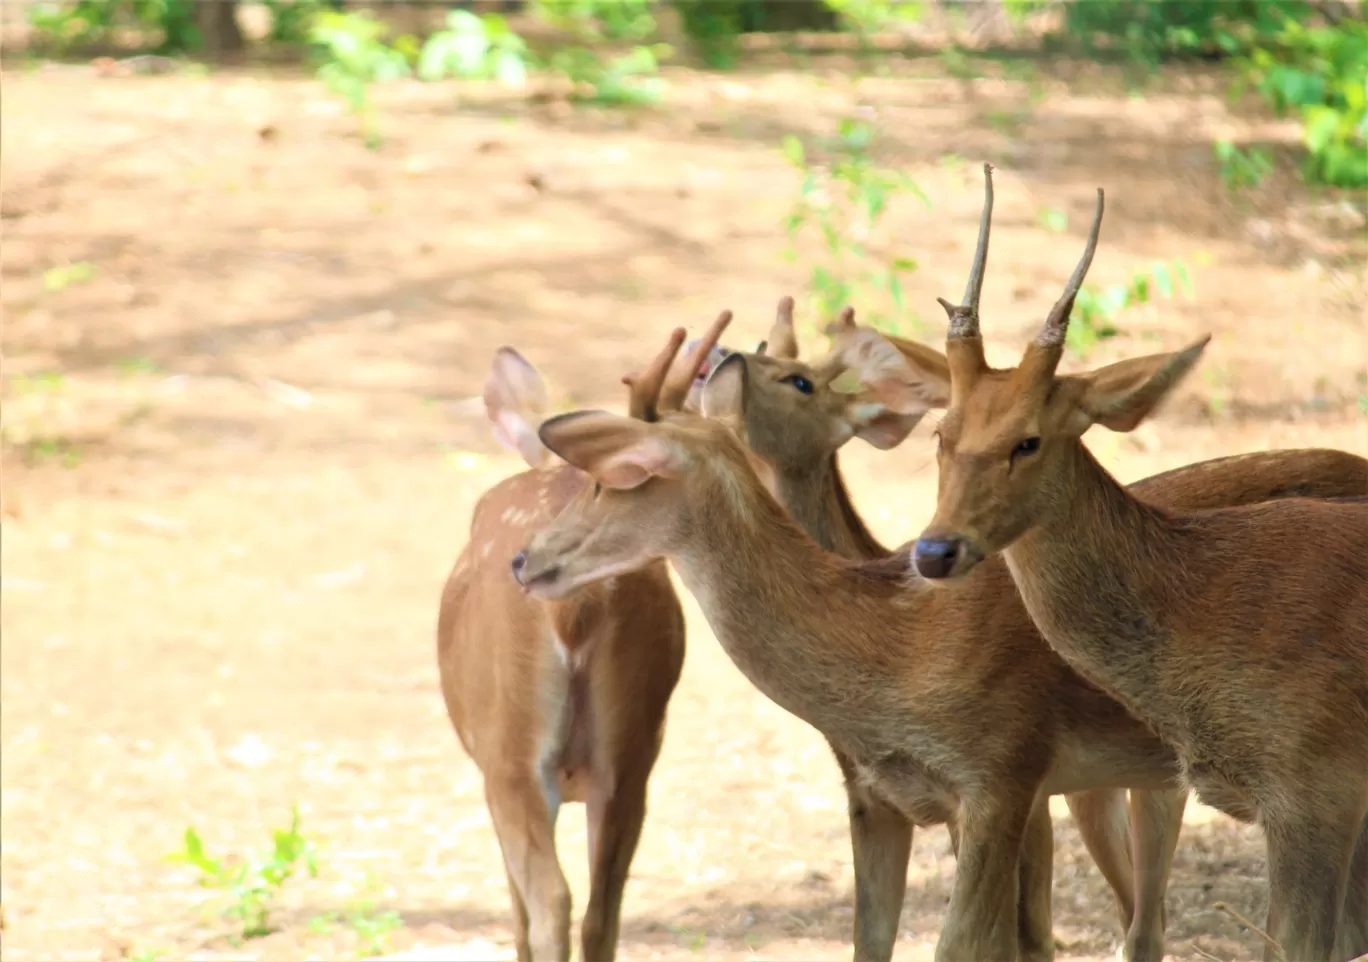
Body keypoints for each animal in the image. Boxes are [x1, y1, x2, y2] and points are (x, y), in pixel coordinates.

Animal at [506, 305, 1368, 957]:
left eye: (611, 478)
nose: (522, 558)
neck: (894, 652)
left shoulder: (1006, 772)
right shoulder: (882, 798)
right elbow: (879, 943)